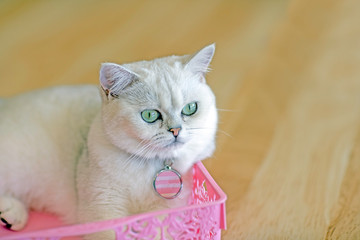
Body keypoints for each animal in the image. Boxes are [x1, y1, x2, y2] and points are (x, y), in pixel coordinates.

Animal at [0, 43, 218, 238]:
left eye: (190, 108)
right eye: (149, 115)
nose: (176, 130)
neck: (147, 165)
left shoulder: (168, 209)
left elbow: (156, 231)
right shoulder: (102, 209)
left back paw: (10, 216)